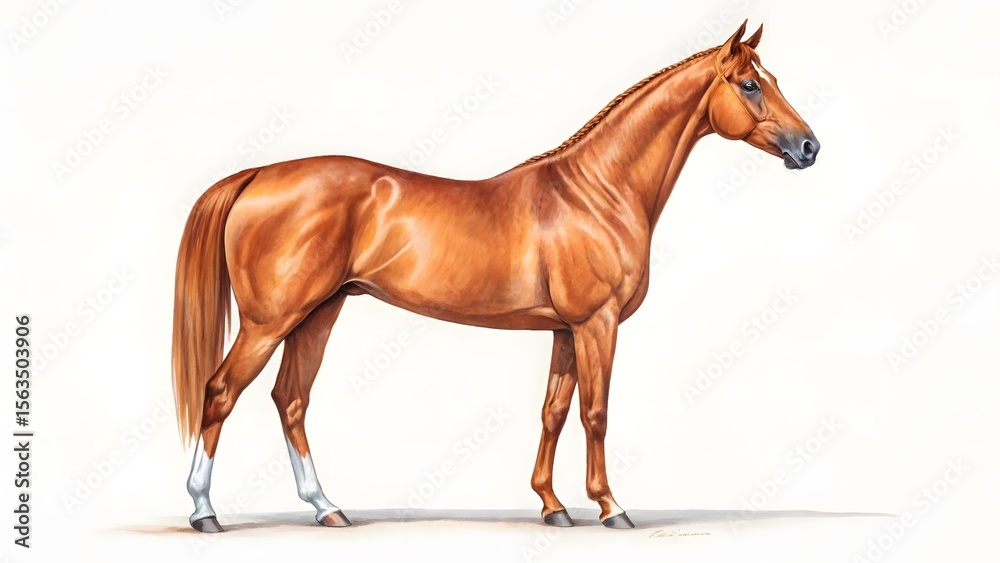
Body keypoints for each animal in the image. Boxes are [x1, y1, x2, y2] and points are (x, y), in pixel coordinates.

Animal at [172, 20, 820, 533]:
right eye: (751, 84)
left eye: (771, 79)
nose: (809, 147)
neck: (598, 190)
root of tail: (257, 175)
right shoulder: (598, 324)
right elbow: (596, 412)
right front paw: (611, 507)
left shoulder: (565, 330)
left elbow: (554, 411)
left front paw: (553, 506)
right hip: (270, 320)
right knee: (221, 392)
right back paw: (204, 512)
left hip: (318, 313)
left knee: (291, 400)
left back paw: (327, 508)